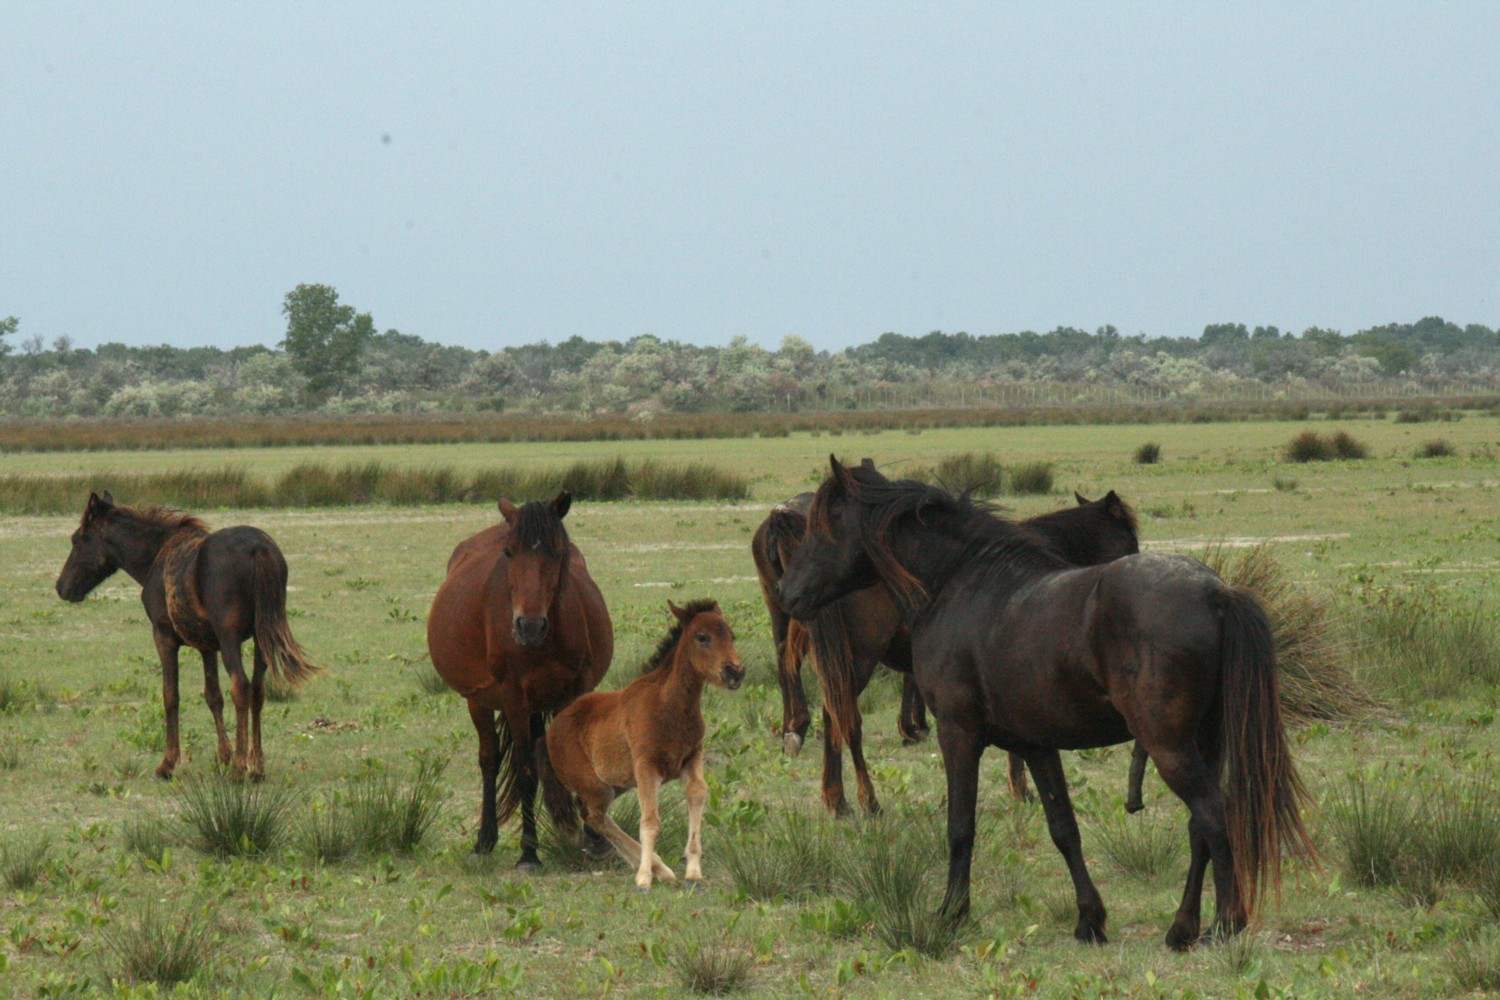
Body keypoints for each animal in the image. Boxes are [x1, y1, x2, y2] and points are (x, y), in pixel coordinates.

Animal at [54, 491, 317, 779]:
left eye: (78, 539)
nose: (61, 587)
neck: (155, 557)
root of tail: (260, 549)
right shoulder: (207, 646)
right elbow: (213, 696)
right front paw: (222, 757)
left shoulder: (164, 637)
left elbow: (171, 695)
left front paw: (168, 763)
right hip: (261, 639)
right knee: (258, 690)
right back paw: (256, 766)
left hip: (230, 639)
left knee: (241, 686)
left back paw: (240, 767)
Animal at [427, 491, 613, 873]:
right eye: (509, 552)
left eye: (558, 552)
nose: (529, 626)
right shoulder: (513, 699)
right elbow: (526, 772)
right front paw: (529, 853)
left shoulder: (578, 690)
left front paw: (596, 839)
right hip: (479, 702)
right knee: (489, 759)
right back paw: (484, 840)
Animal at [539, 600, 744, 890]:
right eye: (702, 637)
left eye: (731, 636)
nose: (735, 672)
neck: (671, 706)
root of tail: (548, 733)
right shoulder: (646, 766)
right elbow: (650, 822)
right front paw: (645, 879)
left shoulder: (692, 760)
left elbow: (697, 796)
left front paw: (693, 872)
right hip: (598, 787)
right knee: (595, 816)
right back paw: (655, 867)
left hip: (618, 784)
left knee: (591, 814)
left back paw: (659, 868)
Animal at [757, 484, 1144, 814]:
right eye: (1131, 542)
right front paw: (1021, 788)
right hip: (857, 658)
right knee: (844, 718)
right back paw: (867, 800)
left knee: (824, 706)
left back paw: (835, 796)